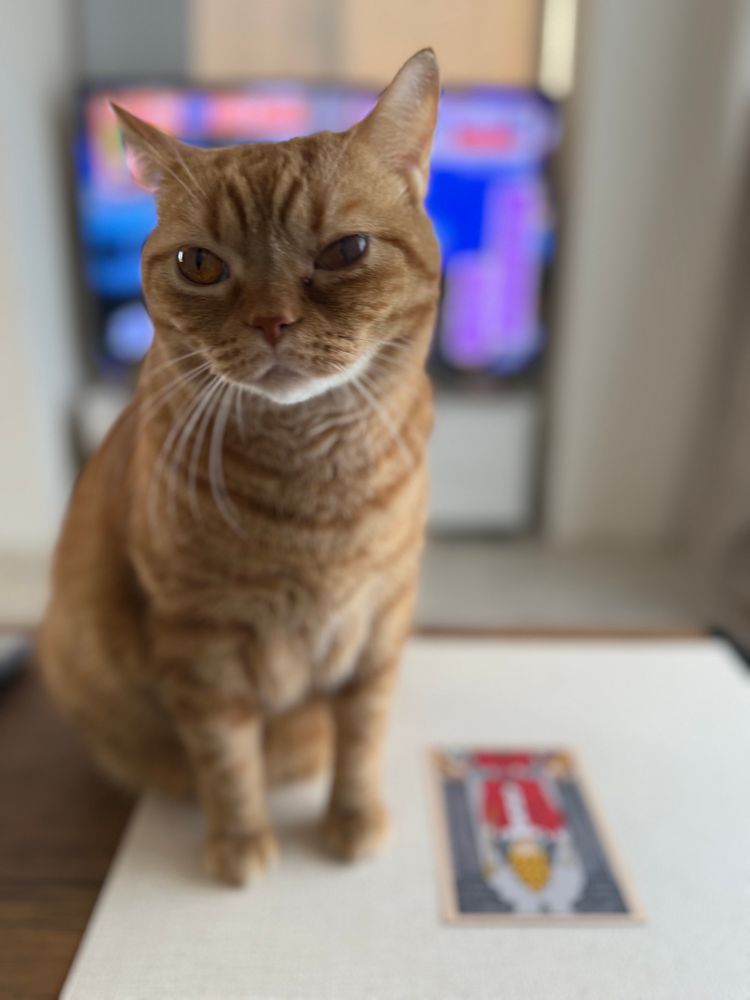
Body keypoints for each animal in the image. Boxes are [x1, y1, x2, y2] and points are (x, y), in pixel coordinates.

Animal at [39, 49, 441, 886]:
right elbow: (226, 755)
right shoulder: (199, 639)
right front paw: (238, 841)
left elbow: (362, 731)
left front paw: (352, 818)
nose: (271, 320)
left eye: (347, 251)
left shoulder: (383, 618)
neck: (316, 485)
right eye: (199, 264)